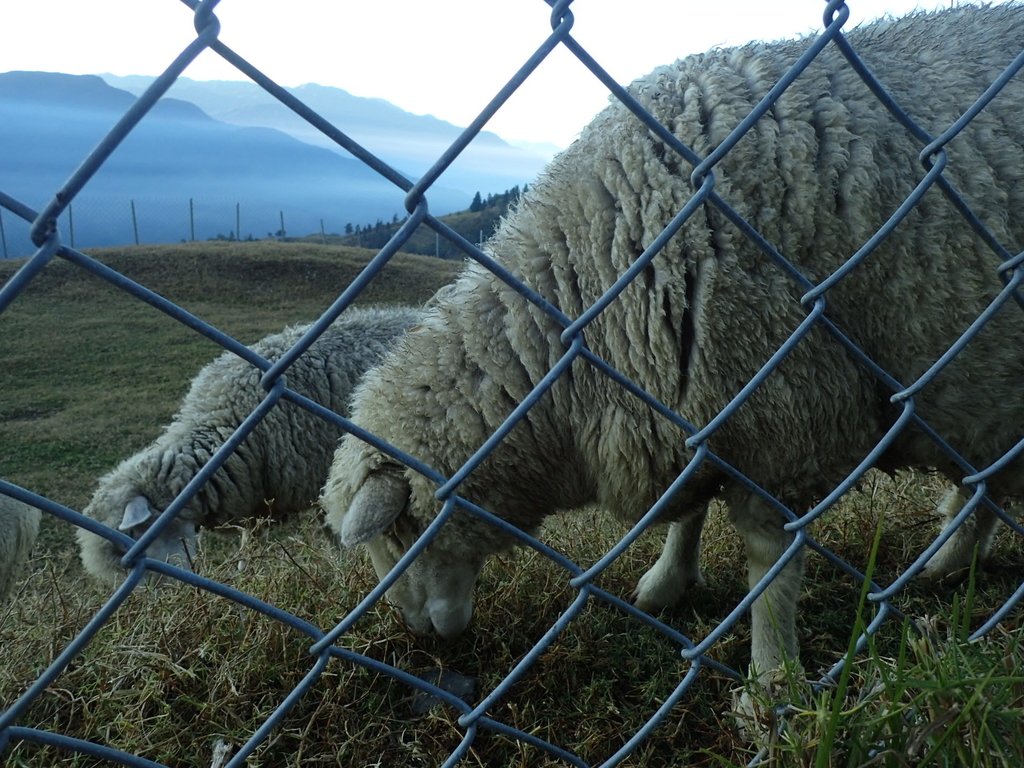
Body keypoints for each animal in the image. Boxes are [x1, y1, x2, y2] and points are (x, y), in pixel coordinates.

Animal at [74, 307, 419, 581]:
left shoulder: (320, 477)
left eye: (134, 537)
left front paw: (340, 568)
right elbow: (247, 548)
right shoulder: (253, 506)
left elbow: (333, 534)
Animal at [321, 3, 1024, 716]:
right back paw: (949, 565)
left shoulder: (780, 413)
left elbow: (769, 558)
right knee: (987, 485)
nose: (421, 635)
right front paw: (668, 581)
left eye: (396, 536)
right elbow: (687, 509)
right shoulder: (685, 404)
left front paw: (771, 679)